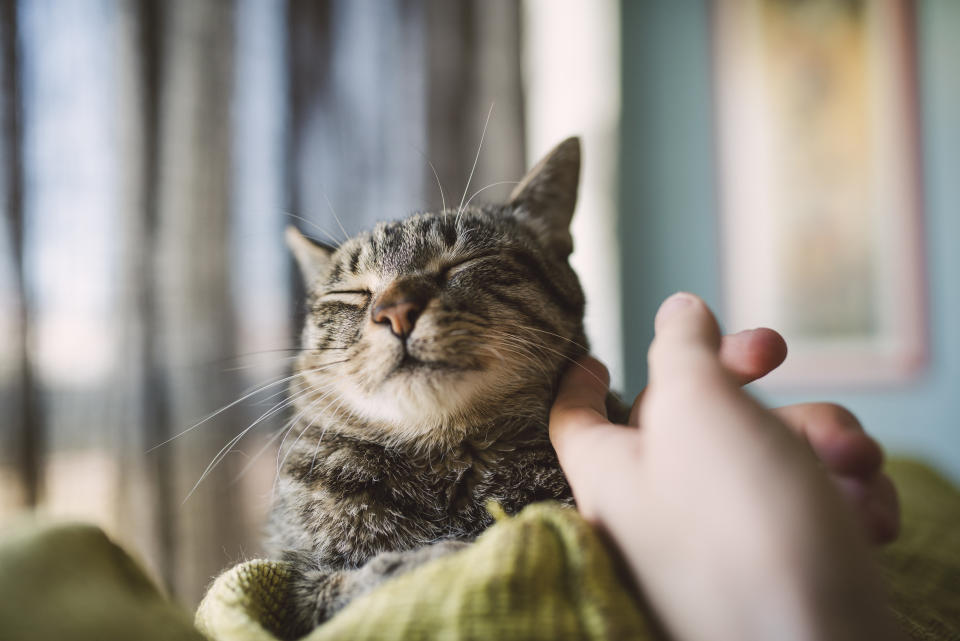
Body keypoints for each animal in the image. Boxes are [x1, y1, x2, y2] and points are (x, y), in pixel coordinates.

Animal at [266, 138, 628, 632]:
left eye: (463, 263)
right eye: (353, 293)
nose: (395, 311)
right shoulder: (294, 582)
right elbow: (356, 585)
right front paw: (437, 557)